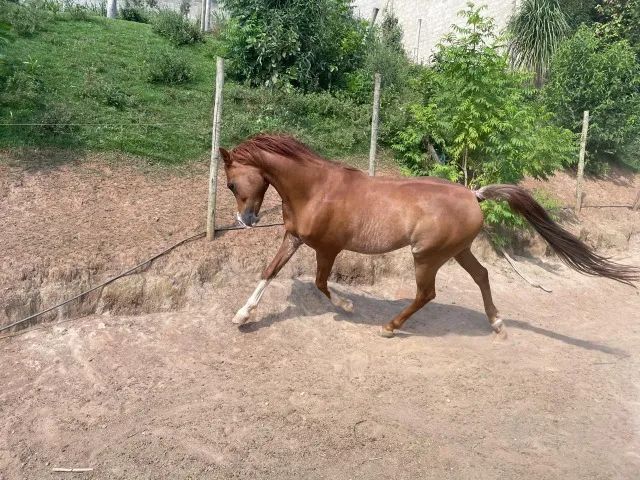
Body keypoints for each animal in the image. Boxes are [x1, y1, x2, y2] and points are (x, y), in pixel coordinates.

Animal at [220, 134, 638, 337]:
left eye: (230, 183)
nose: (246, 220)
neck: (317, 189)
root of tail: (474, 194)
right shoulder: (293, 238)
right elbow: (269, 272)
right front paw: (241, 316)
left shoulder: (327, 248)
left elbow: (322, 284)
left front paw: (348, 307)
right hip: (458, 251)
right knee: (482, 275)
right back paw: (496, 323)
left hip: (427, 256)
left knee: (427, 294)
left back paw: (390, 328)